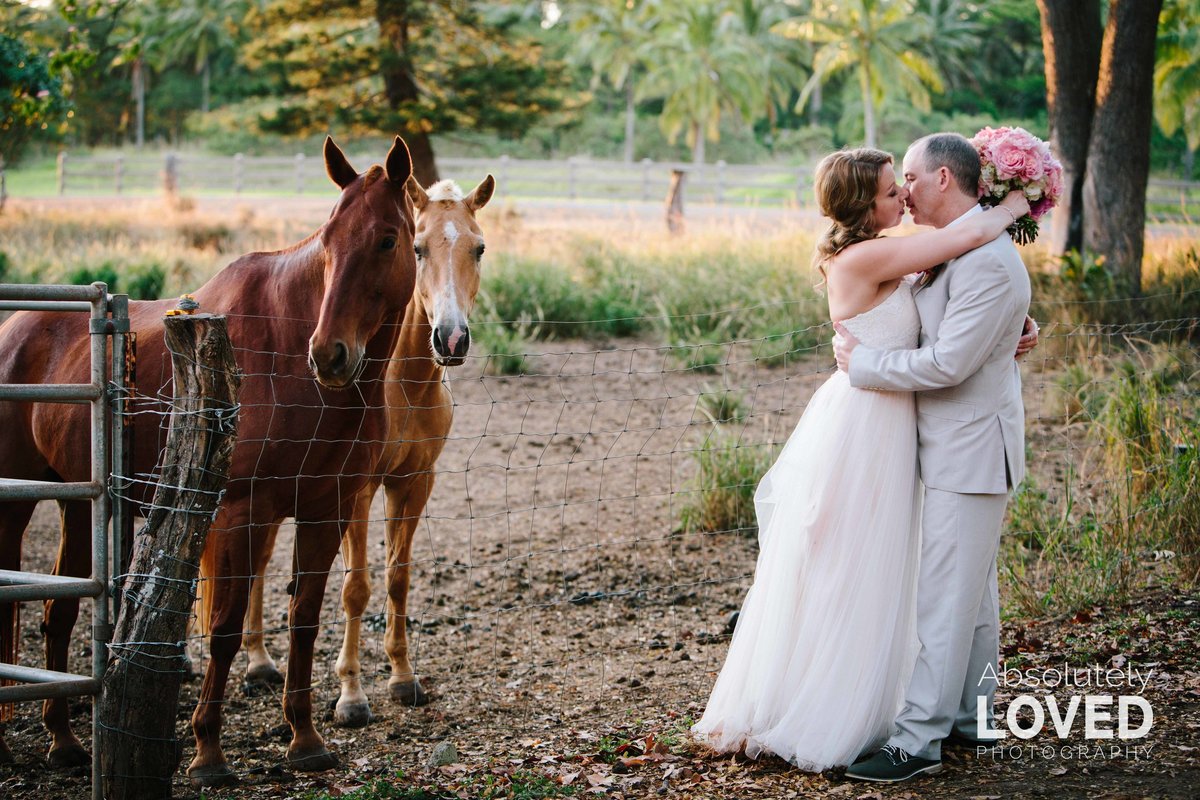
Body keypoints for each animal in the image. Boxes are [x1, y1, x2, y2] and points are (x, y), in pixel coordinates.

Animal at [0, 136, 422, 782]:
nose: (328, 354)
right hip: (16, 502)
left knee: (58, 609)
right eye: (327, 242)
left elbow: (304, 620)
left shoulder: (325, 508)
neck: (283, 356)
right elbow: (224, 626)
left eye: (388, 240)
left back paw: (65, 740)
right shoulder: (239, 513)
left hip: (76, 504)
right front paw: (208, 753)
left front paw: (304, 740)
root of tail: (16, 327)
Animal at [226, 173, 494, 724]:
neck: (404, 387)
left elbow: (397, 578)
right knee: (257, 564)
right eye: (417, 248)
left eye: (478, 248)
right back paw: (257, 664)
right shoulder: (359, 491)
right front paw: (351, 694)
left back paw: (260, 661)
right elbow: (355, 588)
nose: (451, 339)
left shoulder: (414, 484)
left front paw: (403, 677)